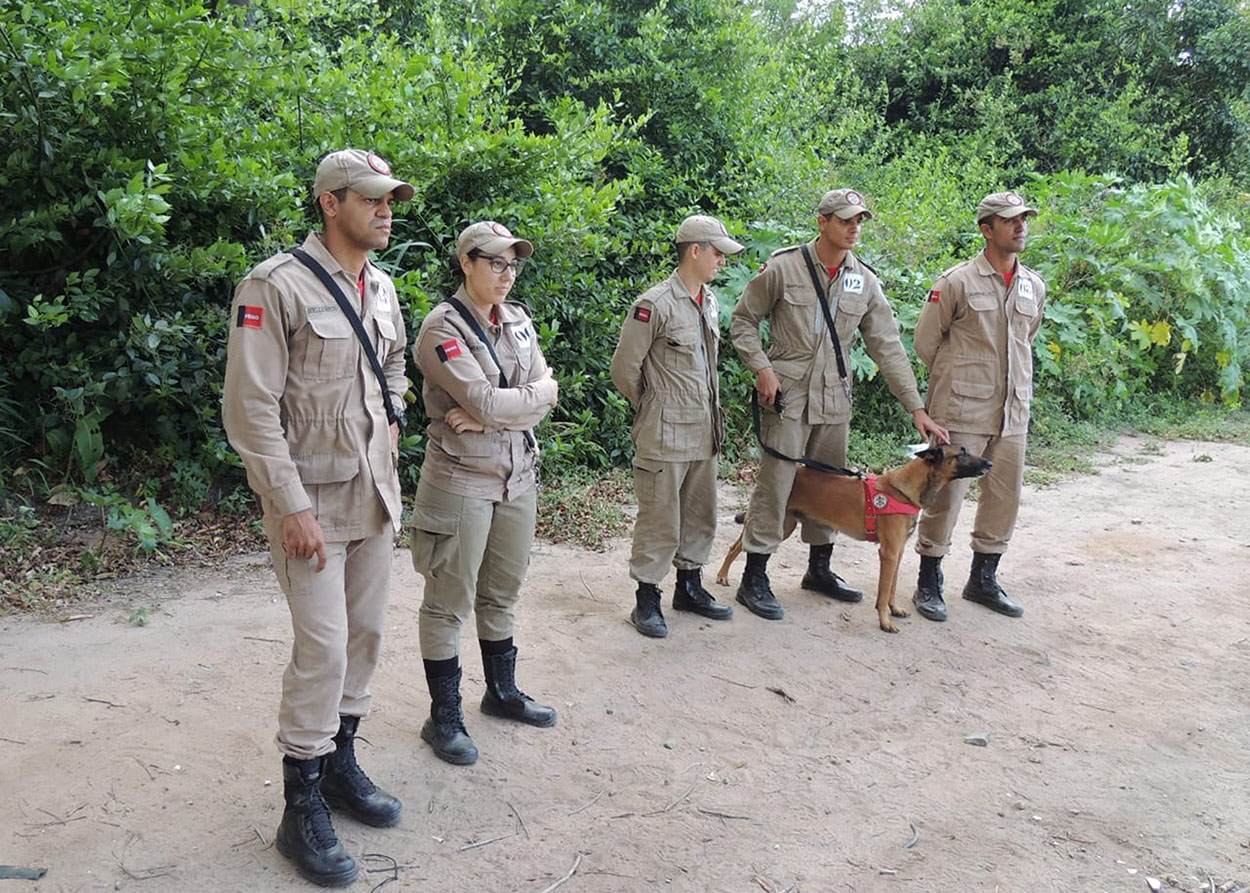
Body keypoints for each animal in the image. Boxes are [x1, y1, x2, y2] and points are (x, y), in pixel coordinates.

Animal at [720, 442, 990, 625]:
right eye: (961, 453)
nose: (990, 464)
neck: (903, 490)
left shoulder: (899, 552)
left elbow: (892, 587)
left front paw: (894, 609)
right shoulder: (888, 553)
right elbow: (883, 591)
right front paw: (884, 622)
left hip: (786, 525)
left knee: (740, 545)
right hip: (778, 524)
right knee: (738, 546)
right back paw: (723, 577)